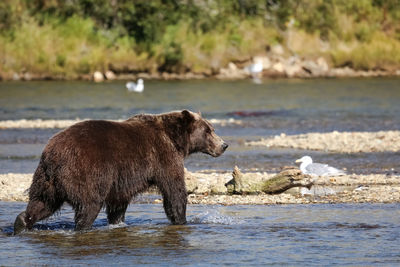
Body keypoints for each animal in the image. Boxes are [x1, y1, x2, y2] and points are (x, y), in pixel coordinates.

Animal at [14, 110, 227, 234]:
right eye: (208, 130)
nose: (224, 145)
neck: (176, 139)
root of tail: (53, 154)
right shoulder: (163, 156)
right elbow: (174, 189)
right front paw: (182, 220)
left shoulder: (121, 178)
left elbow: (119, 201)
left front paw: (117, 221)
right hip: (85, 171)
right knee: (89, 204)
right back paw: (83, 227)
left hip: (46, 180)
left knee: (42, 203)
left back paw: (21, 223)